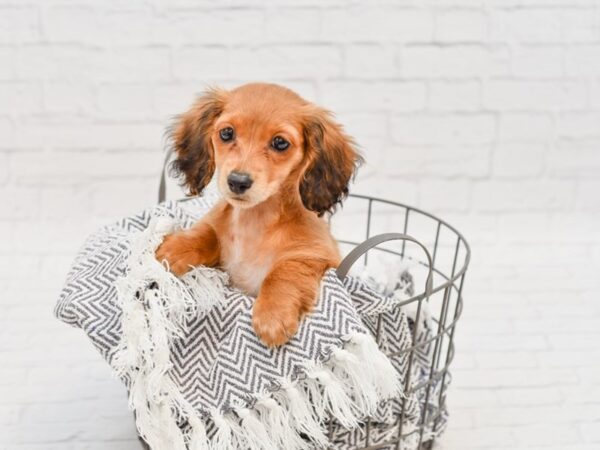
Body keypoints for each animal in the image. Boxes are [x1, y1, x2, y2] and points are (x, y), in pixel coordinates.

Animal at [156, 82, 360, 346]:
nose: (237, 181)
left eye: (280, 143)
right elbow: (207, 233)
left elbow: (285, 270)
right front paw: (175, 249)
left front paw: (273, 314)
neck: (253, 221)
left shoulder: (316, 254)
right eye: (226, 133)